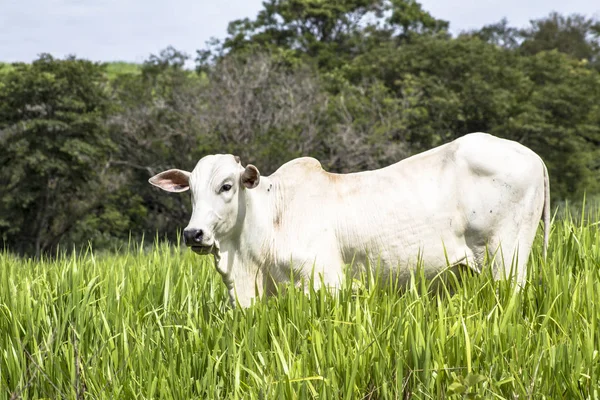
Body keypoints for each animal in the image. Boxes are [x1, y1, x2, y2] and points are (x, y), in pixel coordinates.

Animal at [149, 133, 548, 308]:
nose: (193, 233)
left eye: (226, 186)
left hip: (508, 259)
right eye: (190, 191)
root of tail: (532, 155)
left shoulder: (325, 282)